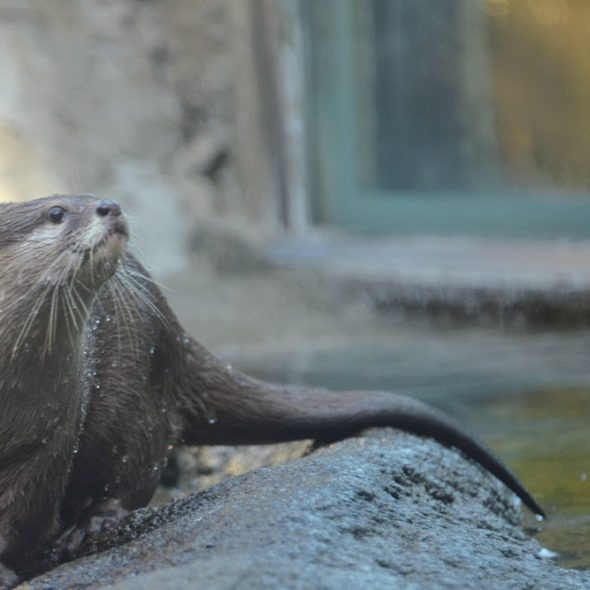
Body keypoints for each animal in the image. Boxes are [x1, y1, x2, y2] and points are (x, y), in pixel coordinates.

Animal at [0, 195, 544, 588]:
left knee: (135, 471)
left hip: (136, 391)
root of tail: (176, 333)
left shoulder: (48, 442)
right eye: (56, 213)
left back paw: (90, 524)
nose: (109, 204)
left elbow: (23, 516)